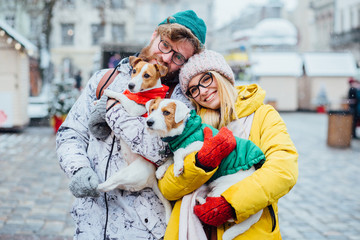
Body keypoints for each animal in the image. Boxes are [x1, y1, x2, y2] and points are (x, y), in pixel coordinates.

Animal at [96, 56, 172, 223]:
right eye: (134, 71)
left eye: (146, 75)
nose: (130, 85)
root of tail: (152, 178)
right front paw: (97, 102)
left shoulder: (135, 109)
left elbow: (122, 96)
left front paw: (110, 92)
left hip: (126, 174)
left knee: (108, 185)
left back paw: (96, 186)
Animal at [146, 98, 264, 240]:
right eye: (152, 110)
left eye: (166, 112)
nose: (149, 122)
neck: (185, 131)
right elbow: (170, 158)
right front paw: (161, 170)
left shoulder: (201, 144)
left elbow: (179, 152)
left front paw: (178, 167)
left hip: (222, 192)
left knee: (226, 214)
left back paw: (203, 203)